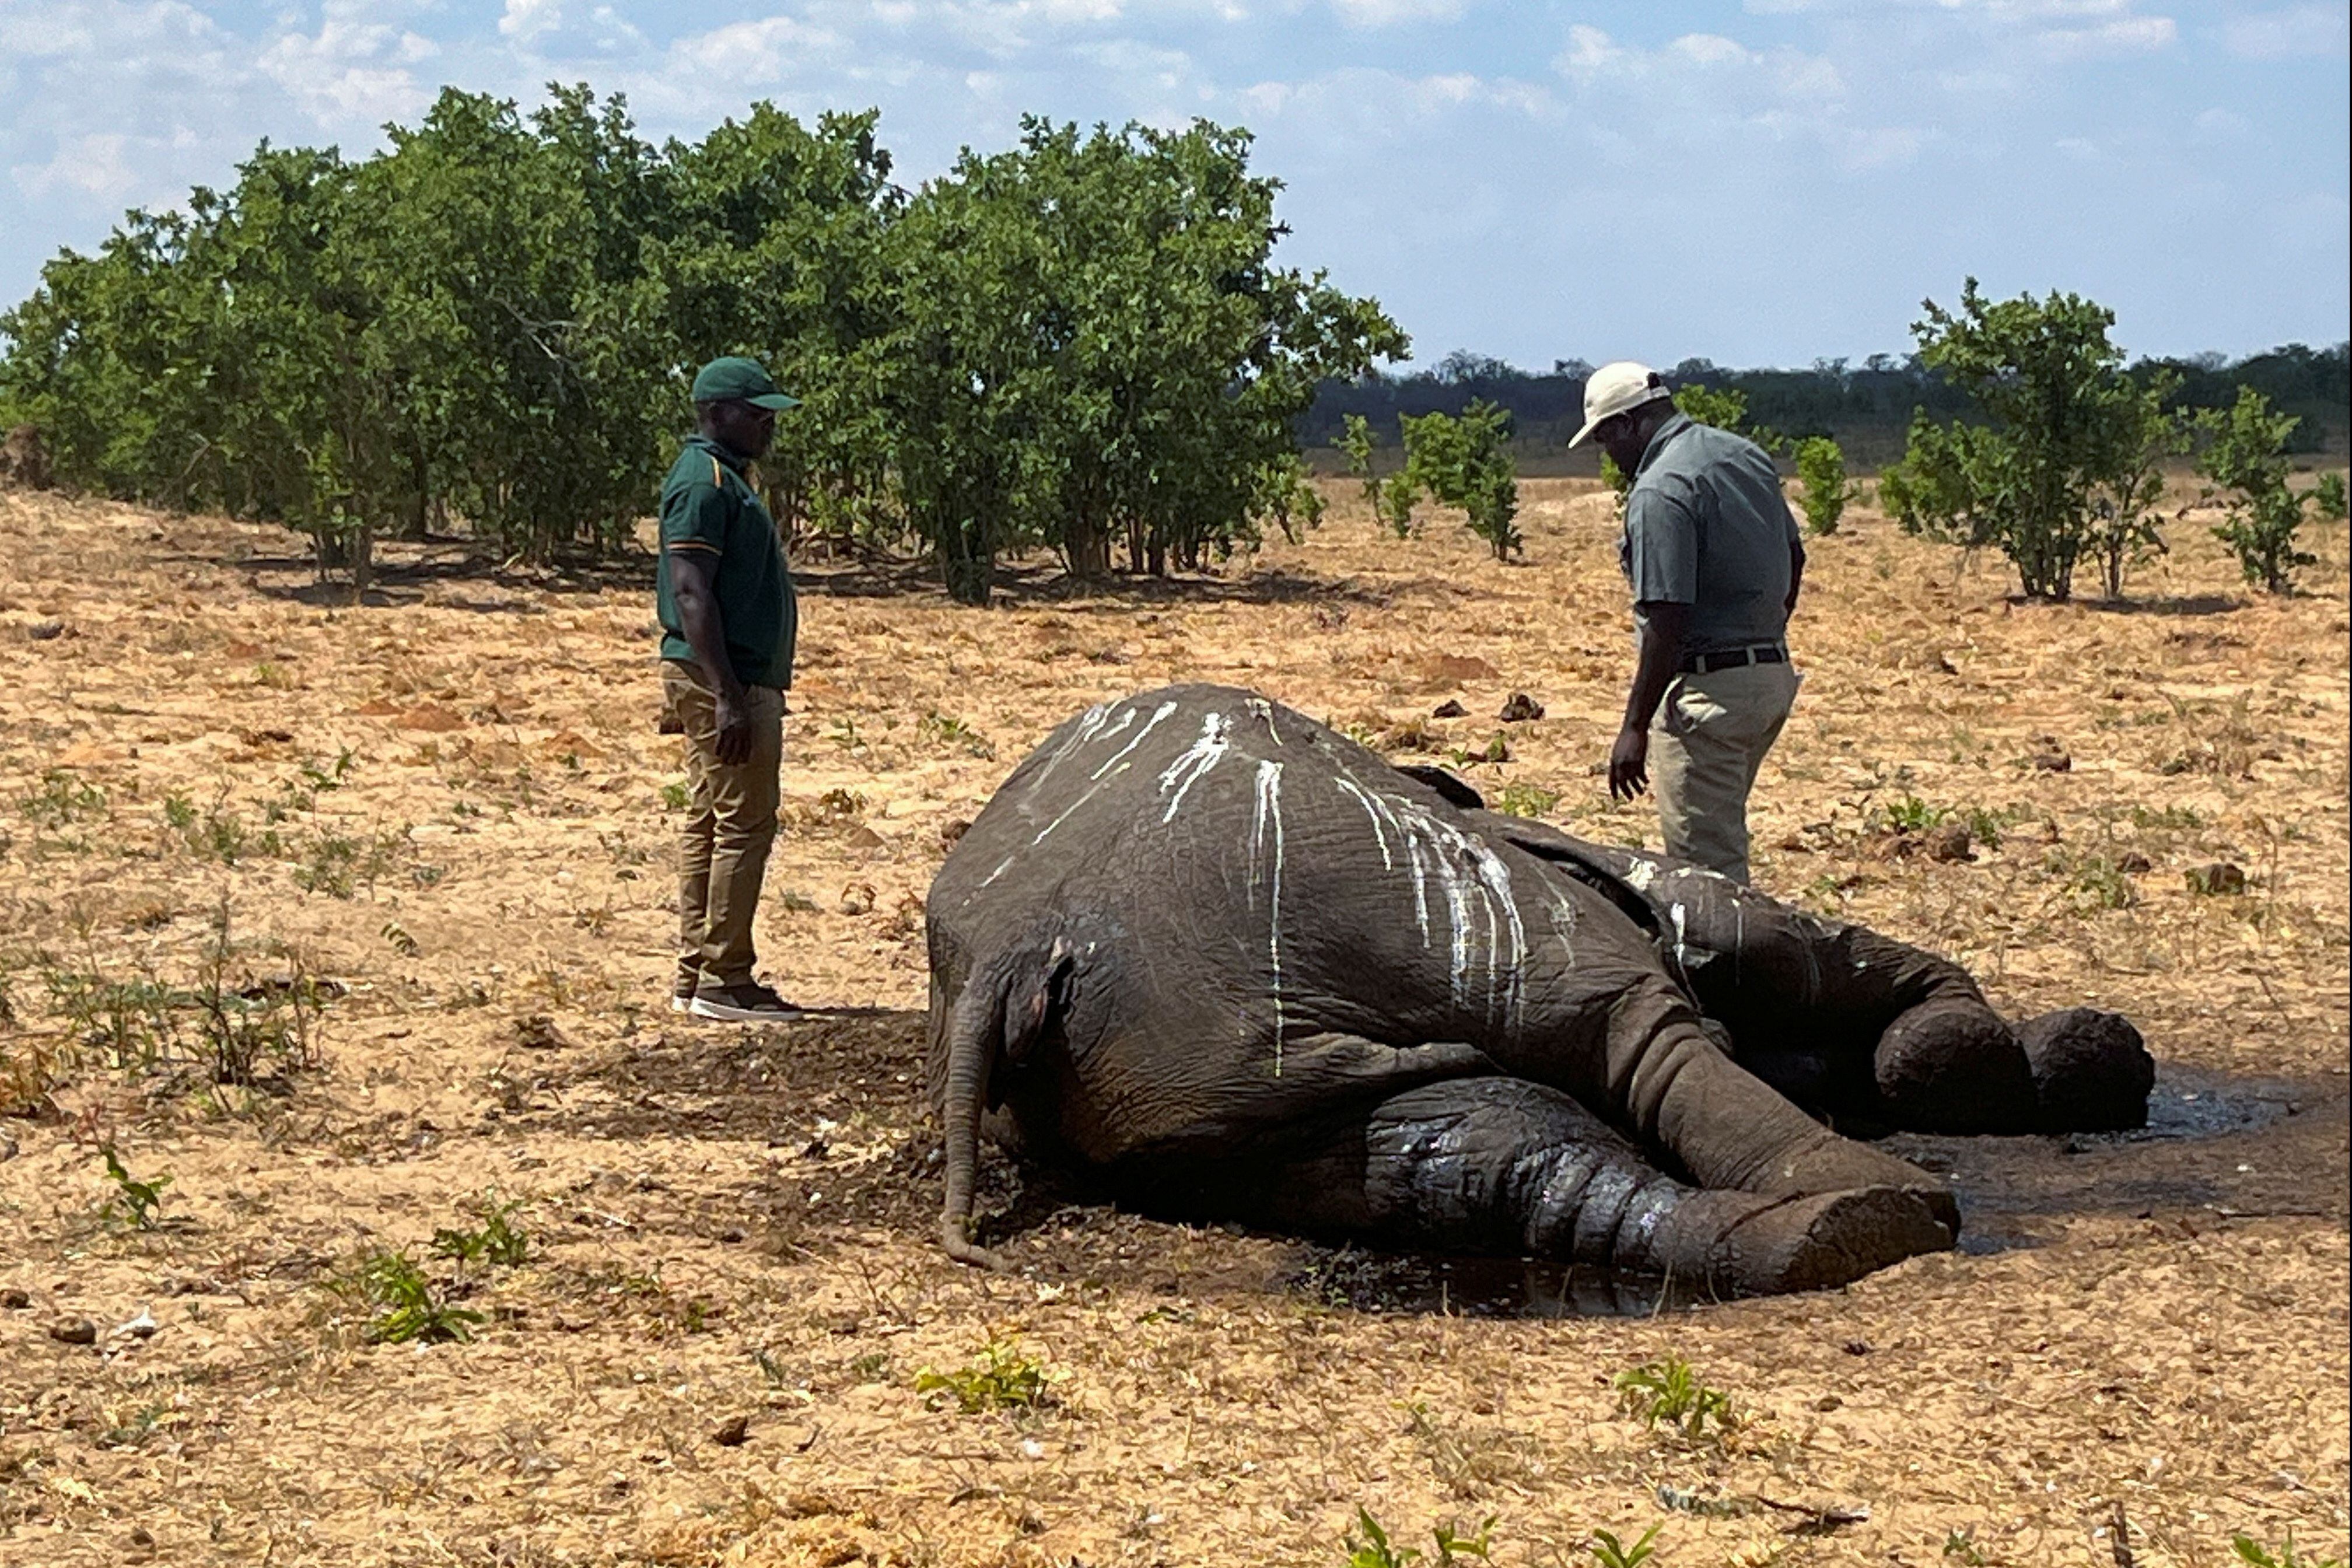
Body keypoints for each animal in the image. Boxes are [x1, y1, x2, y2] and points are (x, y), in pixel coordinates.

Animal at [922, 681, 2154, 1297]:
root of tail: (1026, 942)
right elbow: (1791, 951)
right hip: (1392, 897)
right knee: (1630, 1027)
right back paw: (1873, 1209)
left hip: (1190, 1076)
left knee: (1468, 1157)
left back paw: (1810, 1238)